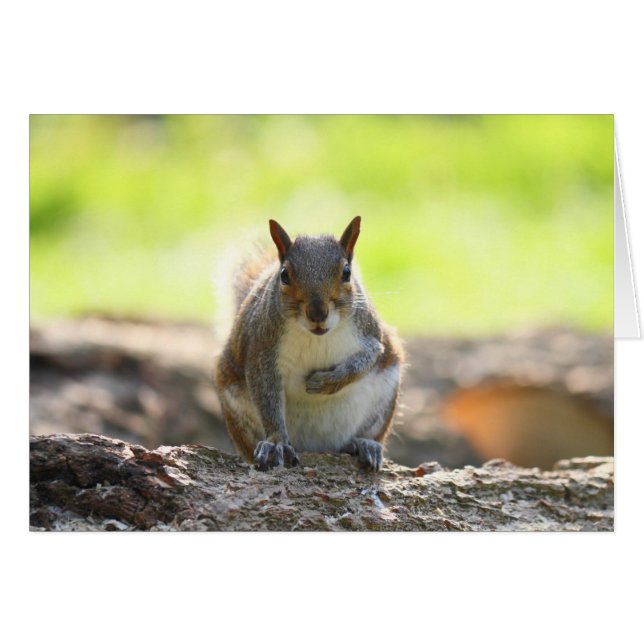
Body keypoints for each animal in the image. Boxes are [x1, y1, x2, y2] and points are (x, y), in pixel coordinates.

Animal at [214, 216, 404, 471]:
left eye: (347, 273)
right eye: (284, 275)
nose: (317, 313)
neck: (317, 336)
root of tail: (316, 447)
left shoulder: (371, 335)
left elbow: (367, 359)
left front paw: (327, 382)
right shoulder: (262, 350)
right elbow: (267, 398)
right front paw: (276, 442)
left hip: (384, 396)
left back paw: (363, 444)